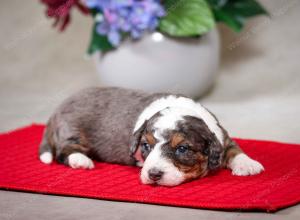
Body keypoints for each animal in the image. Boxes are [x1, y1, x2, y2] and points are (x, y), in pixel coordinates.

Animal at [38, 87, 264, 186]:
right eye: (145, 146)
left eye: (182, 149)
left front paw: (248, 165)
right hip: (72, 131)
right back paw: (81, 160)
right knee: (63, 151)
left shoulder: (222, 136)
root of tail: (56, 110)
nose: (154, 175)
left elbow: (234, 149)